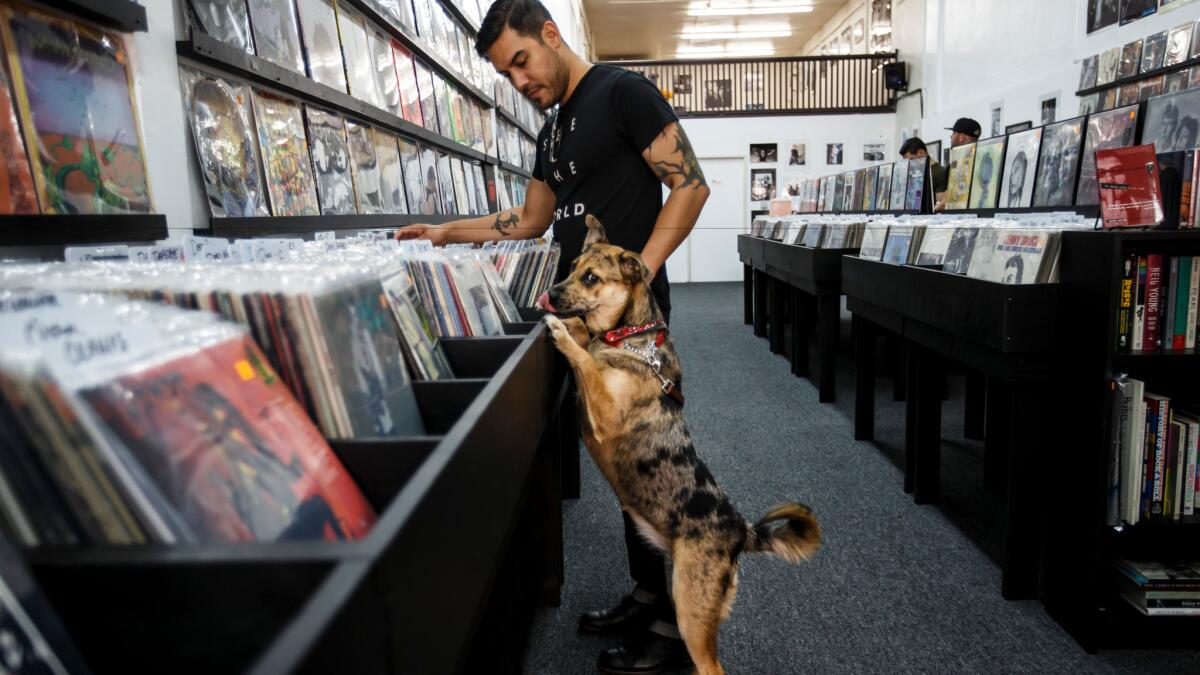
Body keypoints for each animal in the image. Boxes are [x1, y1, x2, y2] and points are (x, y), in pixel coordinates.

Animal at [540, 214, 820, 672]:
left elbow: (585, 361)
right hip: (676, 584)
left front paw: (562, 331)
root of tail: (740, 532)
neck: (627, 337)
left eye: (591, 277)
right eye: (572, 266)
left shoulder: (603, 414)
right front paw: (576, 327)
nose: (549, 295)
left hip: (692, 607)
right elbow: (587, 343)